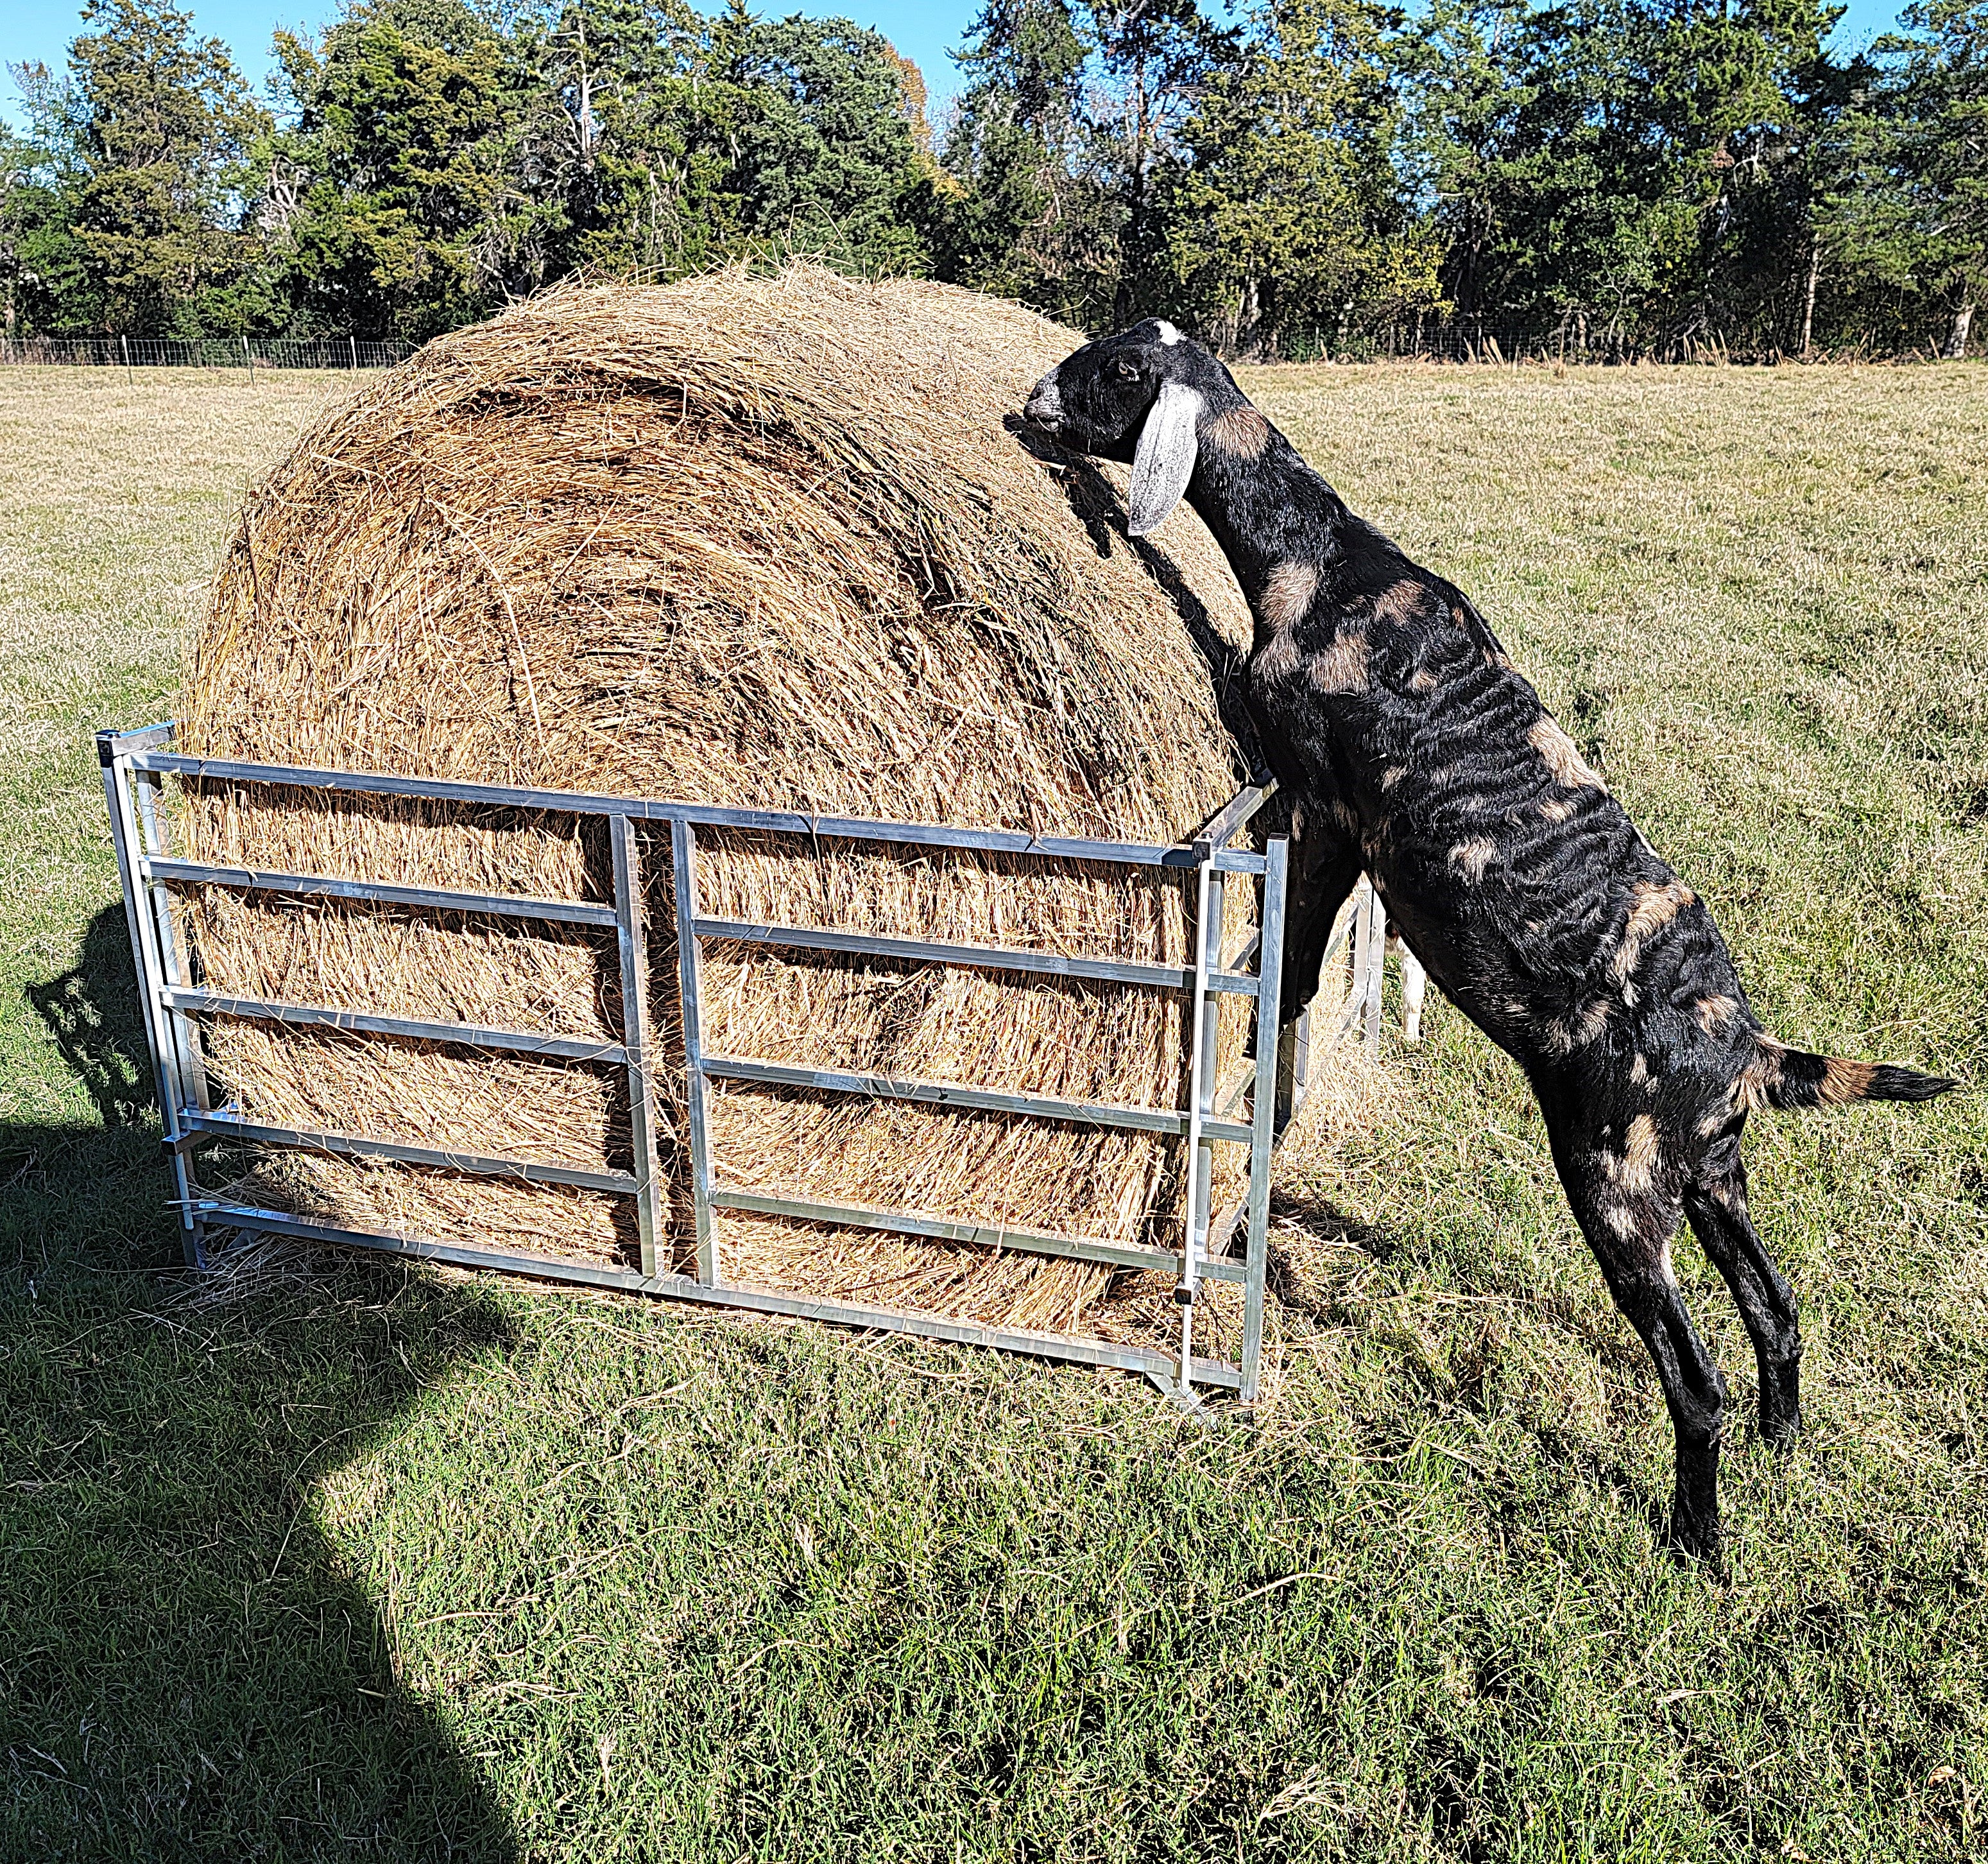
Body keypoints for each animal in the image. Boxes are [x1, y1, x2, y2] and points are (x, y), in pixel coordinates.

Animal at [1023, 320, 1957, 1571]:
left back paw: (1696, 1542)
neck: (1323, 567)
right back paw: (1783, 1446)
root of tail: (1748, 1048)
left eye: (1121, 370)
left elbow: (1305, 954)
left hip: (1617, 1178)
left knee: (1693, 1376)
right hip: (1710, 1171)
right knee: (1777, 1308)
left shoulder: (1327, 808)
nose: (1030, 402)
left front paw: (1272, 1037)